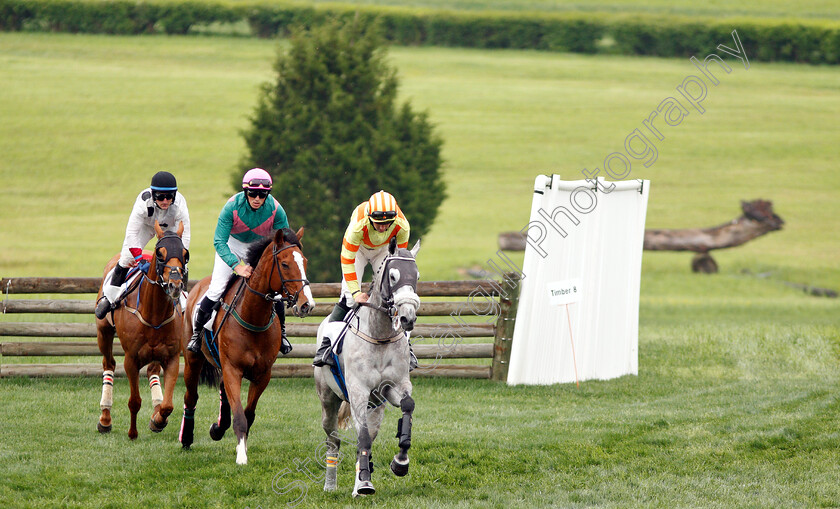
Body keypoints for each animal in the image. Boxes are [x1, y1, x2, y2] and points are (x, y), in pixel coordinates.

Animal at [95, 220, 189, 438]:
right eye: (160, 253)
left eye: (185, 253)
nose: (175, 285)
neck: (154, 313)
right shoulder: (131, 358)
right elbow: (134, 401)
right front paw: (132, 433)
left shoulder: (172, 357)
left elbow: (168, 405)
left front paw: (158, 419)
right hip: (103, 332)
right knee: (108, 365)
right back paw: (105, 419)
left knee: (153, 371)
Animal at [180, 227, 316, 464]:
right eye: (285, 264)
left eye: (305, 262)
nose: (307, 304)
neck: (253, 316)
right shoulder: (233, 369)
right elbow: (240, 417)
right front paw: (241, 457)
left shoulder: (263, 374)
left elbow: (248, 414)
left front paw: (238, 444)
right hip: (193, 360)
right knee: (191, 396)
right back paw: (186, 438)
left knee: (222, 392)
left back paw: (218, 428)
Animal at [314, 238, 420, 496]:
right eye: (393, 276)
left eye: (417, 276)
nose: (408, 317)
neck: (380, 336)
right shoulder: (358, 391)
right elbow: (360, 436)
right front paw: (364, 483)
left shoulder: (392, 387)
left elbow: (407, 407)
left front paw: (400, 462)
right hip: (328, 399)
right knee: (333, 439)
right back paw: (331, 485)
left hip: (376, 406)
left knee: (368, 438)